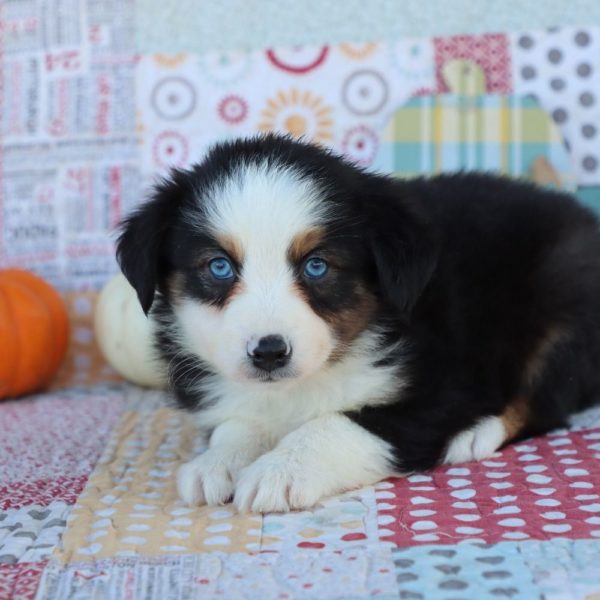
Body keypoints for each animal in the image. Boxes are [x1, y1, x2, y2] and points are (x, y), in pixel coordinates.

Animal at [116, 134, 600, 512]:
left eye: (316, 266)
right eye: (218, 267)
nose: (269, 353)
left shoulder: (441, 388)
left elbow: (337, 424)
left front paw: (278, 470)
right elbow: (240, 421)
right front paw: (218, 461)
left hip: (565, 298)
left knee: (546, 399)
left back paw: (476, 434)